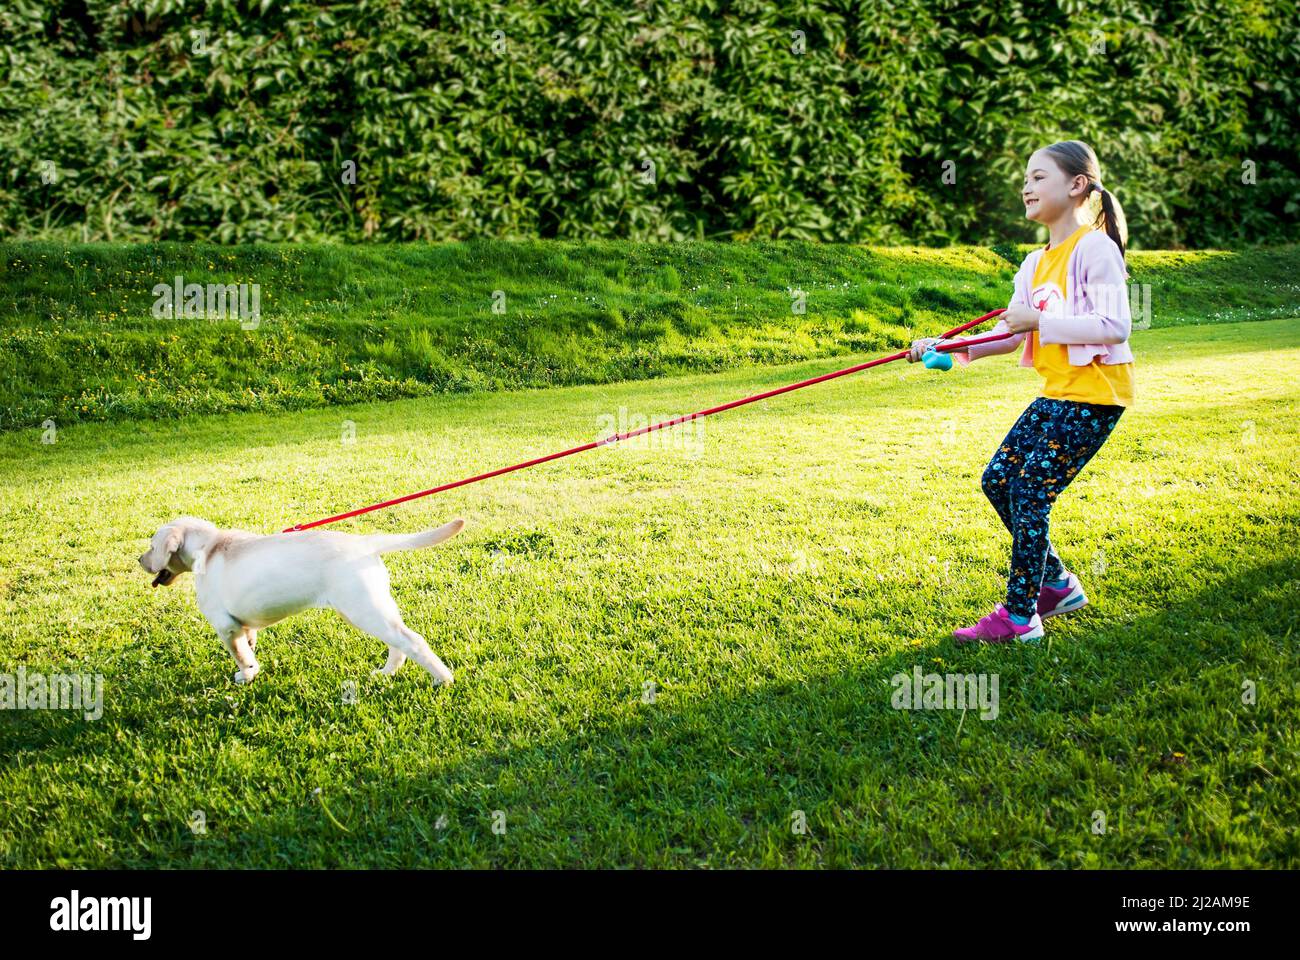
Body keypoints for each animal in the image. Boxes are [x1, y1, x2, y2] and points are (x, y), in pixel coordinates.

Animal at [139, 520, 465, 686]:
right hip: (370, 608)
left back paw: (443, 679)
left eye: (152, 546)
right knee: (398, 642)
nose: (140, 561)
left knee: (413, 641)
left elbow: (240, 655)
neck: (209, 547)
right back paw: (388, 673)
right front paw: (253, 669)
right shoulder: (242, 626)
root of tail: (363, 542)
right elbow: (250, 647)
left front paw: (245, 676)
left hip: (364, 609)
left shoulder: (225, 627)